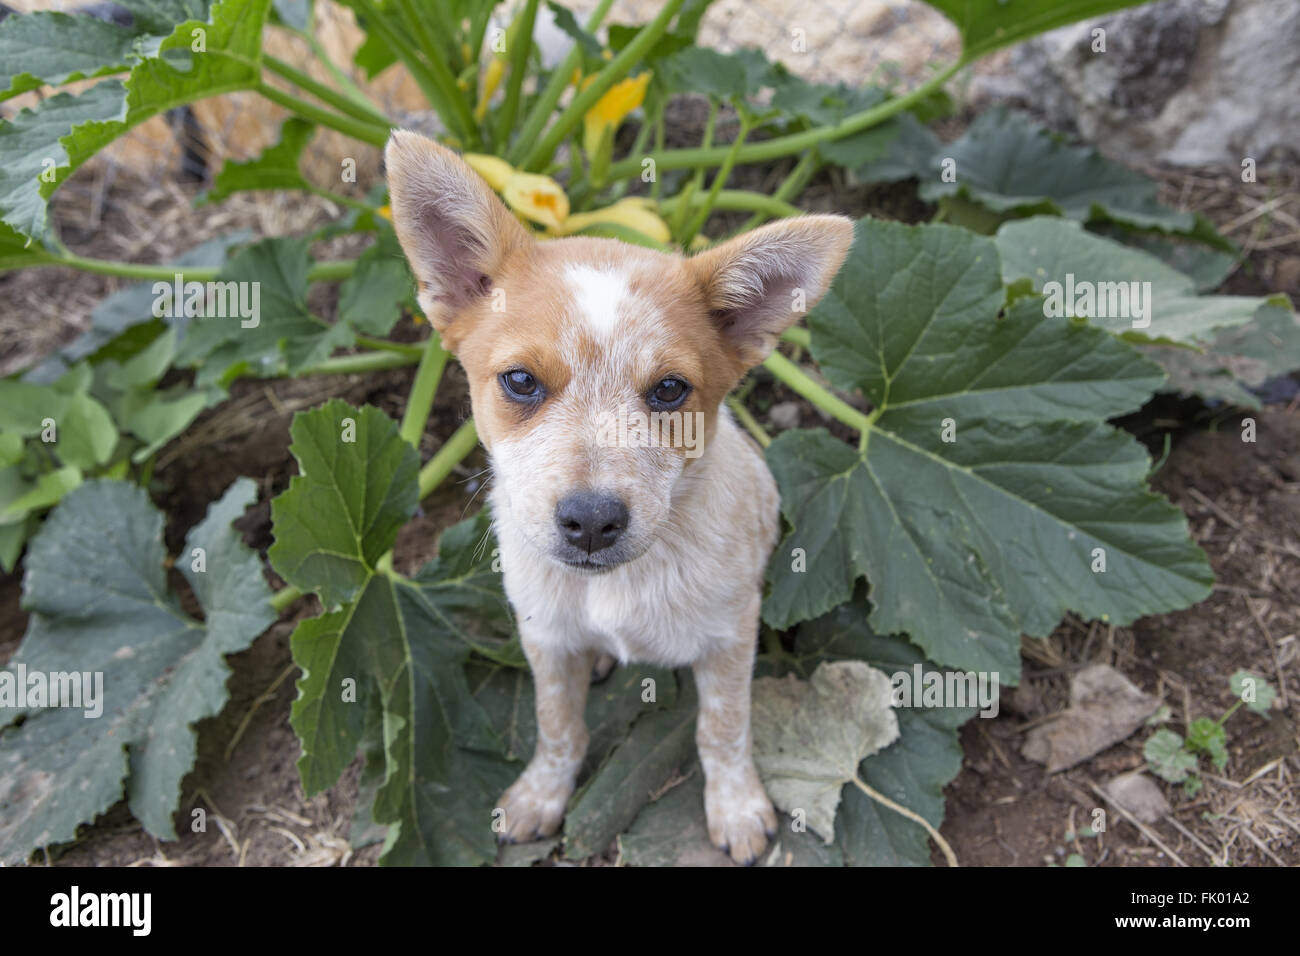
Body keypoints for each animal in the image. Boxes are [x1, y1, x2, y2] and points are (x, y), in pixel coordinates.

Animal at [384, 128, 852, 868]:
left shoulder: (730, 637)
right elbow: (556, 727)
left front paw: (737, 808)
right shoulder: (544, 636)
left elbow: (724, 727)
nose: (591, 521)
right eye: (520, 381)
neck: (617, 589)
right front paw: (540, 797)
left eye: (669, 390)